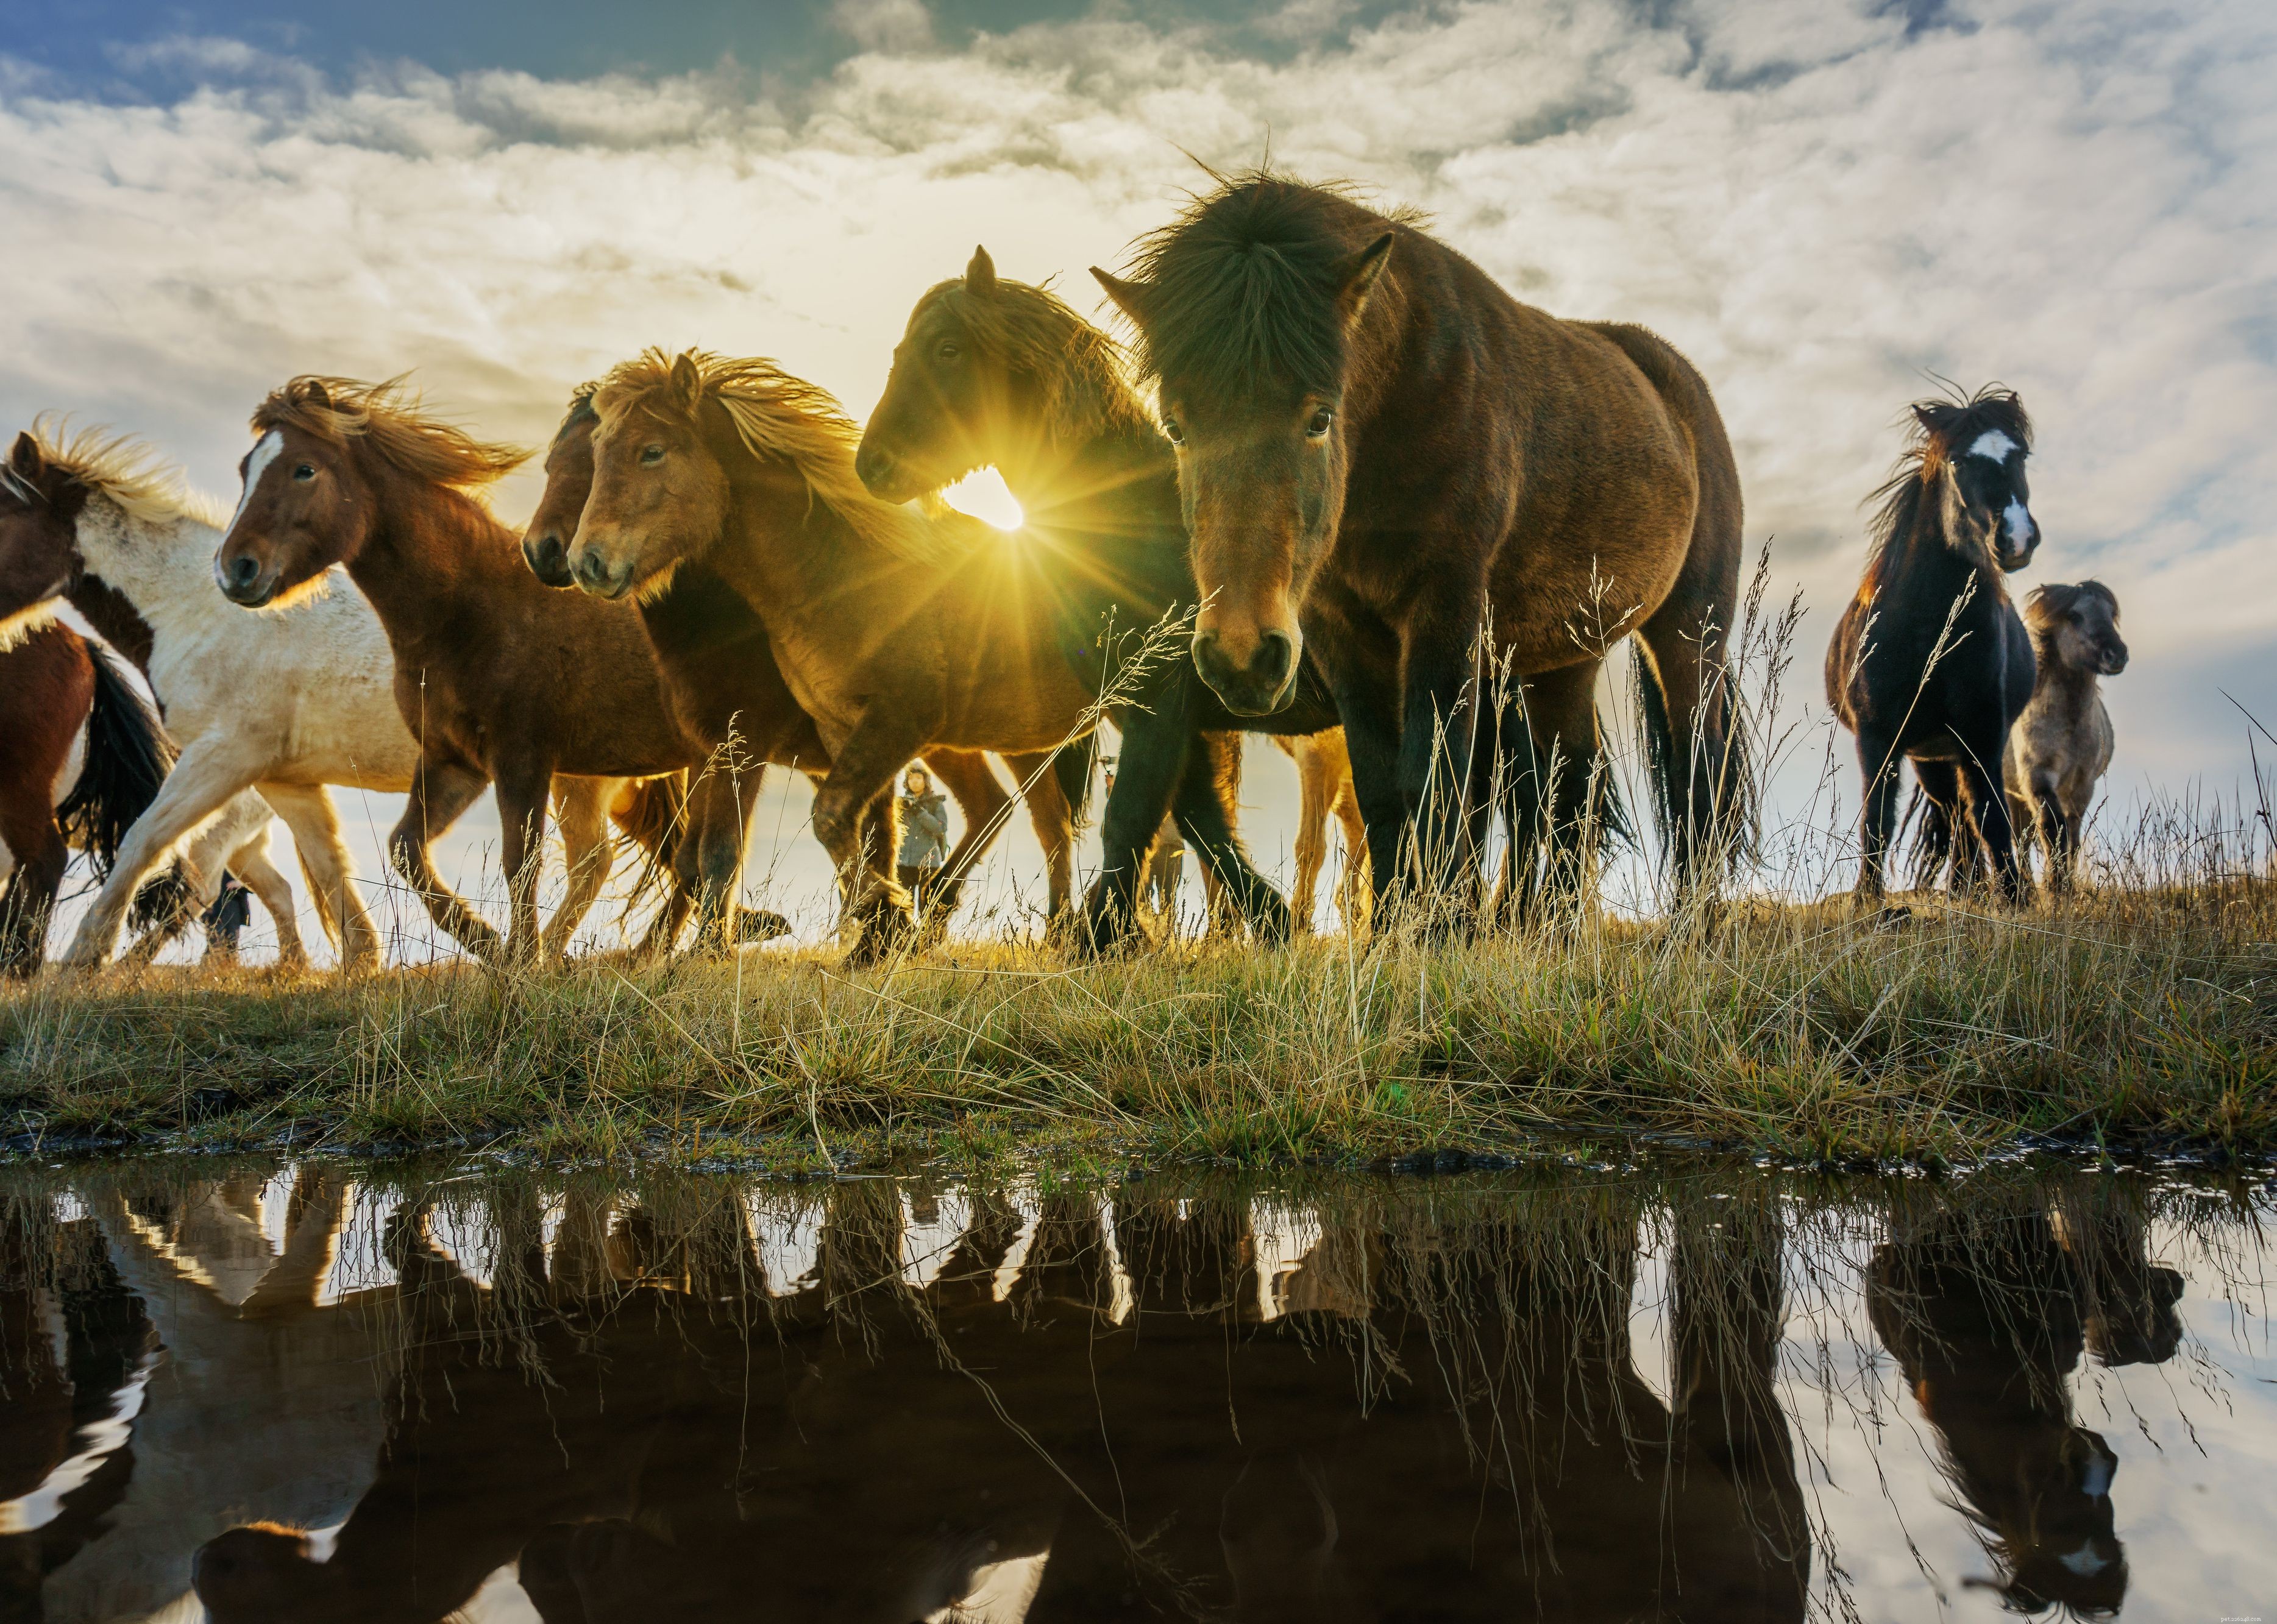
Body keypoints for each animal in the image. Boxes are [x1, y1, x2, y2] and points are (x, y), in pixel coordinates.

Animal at [208, 376, 746, 965]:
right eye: (245, 470)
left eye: (304, 469)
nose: (234, 569)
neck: (470, 607)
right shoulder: (455, 761)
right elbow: (407, 851)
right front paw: (494, 947)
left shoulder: (521, 759)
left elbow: (520, 862)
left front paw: (522, 959)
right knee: (666, 859)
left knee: (688, 859)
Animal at [519, 389, 1090, 935]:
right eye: (553, 465)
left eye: (595, 465)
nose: (547, 554)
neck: (730, 621)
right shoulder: (710, 752)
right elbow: (693, 862)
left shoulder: (747, 749)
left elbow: (722, 856)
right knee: (997, 806)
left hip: (1018, 736)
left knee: (1046, 819)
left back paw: (1052, 928)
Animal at [854, 246, 1347, 945]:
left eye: (947, 348)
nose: (873, 464)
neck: (1132, 520)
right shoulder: (1149, 709)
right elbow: (1198, 819)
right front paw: (1269, 924)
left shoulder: (1161, 699)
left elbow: (1137, 814)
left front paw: (1103, 933)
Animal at [1091, 171, 1751, 921]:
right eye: (1176, 426)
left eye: (1320, 417)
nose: (1241, 656)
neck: (1404, 402)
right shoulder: (1339, 630)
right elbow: (1384, 795)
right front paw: (1396, 926)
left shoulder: (1445, 613)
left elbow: (1434, 787)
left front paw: (1437, 930)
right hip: (1563, 660)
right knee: (1570, 791)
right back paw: (1546, 926)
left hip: (1690, 635)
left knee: (1697, 779)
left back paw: (1692, 924)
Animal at [1826, 387, 2040, 904]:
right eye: (1958, 460)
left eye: (2022, 454)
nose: (2017, 537)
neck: (1927, 627)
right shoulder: (1878, 737)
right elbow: (1877, 821)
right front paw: (1868, 899)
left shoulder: (1983, 732)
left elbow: (1992, 817)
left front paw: (2014, 897)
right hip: (1930, 758)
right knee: (1953, 816)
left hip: (1947, 753)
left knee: (1965, 818)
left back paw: (1970, 890)